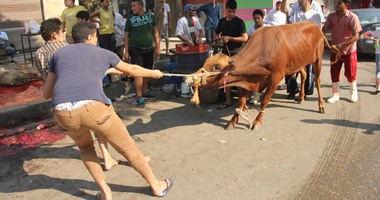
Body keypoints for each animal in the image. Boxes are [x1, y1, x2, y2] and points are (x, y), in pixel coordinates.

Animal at [191, 20, 326, 130]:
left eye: (217, 67)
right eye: (206, 62)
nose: (192, 79)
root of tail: (315, 25)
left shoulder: (276, 77)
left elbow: (265, 100)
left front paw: (257, 121)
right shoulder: (246, 79)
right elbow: (241, 102)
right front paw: (232, 121)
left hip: (318, 59)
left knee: (317, 81)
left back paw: (321, 105)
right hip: (299, 63)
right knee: (304, 75)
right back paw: (301, 97)